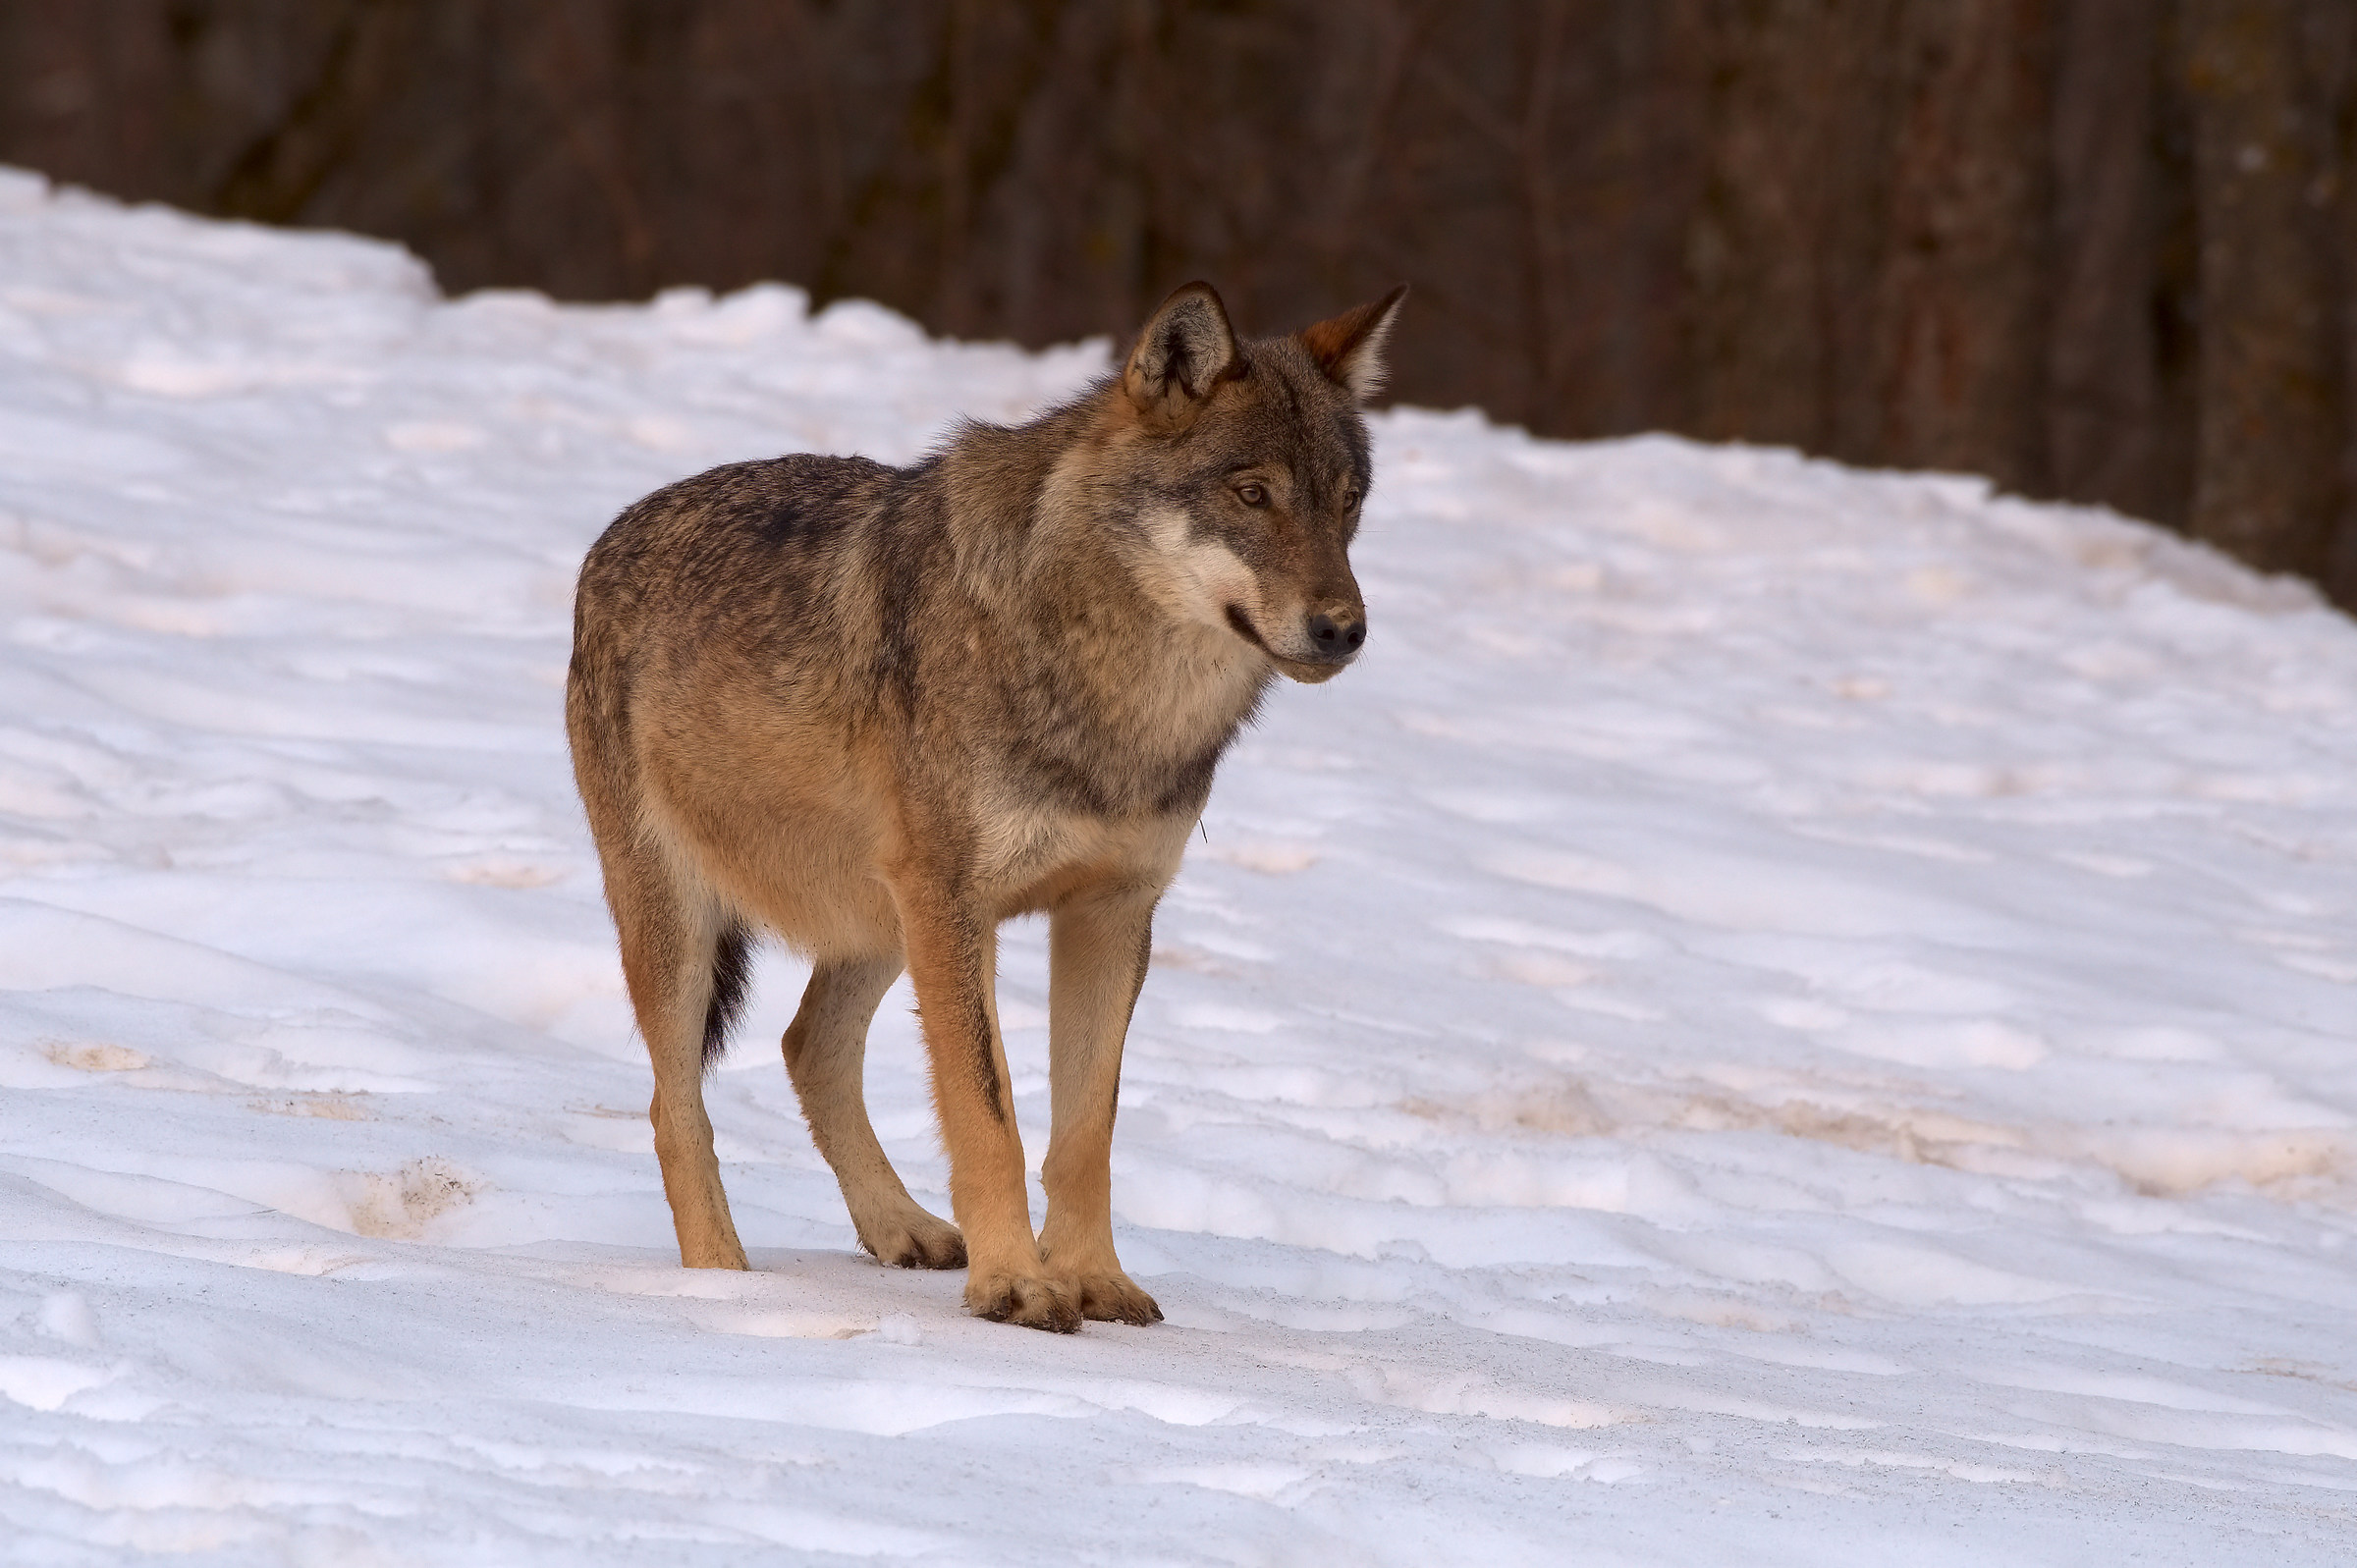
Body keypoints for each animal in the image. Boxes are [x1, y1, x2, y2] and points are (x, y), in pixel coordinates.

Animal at [566, 280, 1405, 1331]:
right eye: (1252, 494)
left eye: (1348, 502)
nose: (1346, 629)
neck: (1114, 699)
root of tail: (616, 529)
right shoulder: (960, 903)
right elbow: (988, 1110)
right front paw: (1015, 1283)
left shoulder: (1109, 914)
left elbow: (1085, 1132)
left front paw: (1094, 1278)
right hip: (697, 923)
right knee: (674, 1106)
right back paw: (720, 1280)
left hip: (883, 919)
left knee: (807, 1045)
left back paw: (900, 1226)